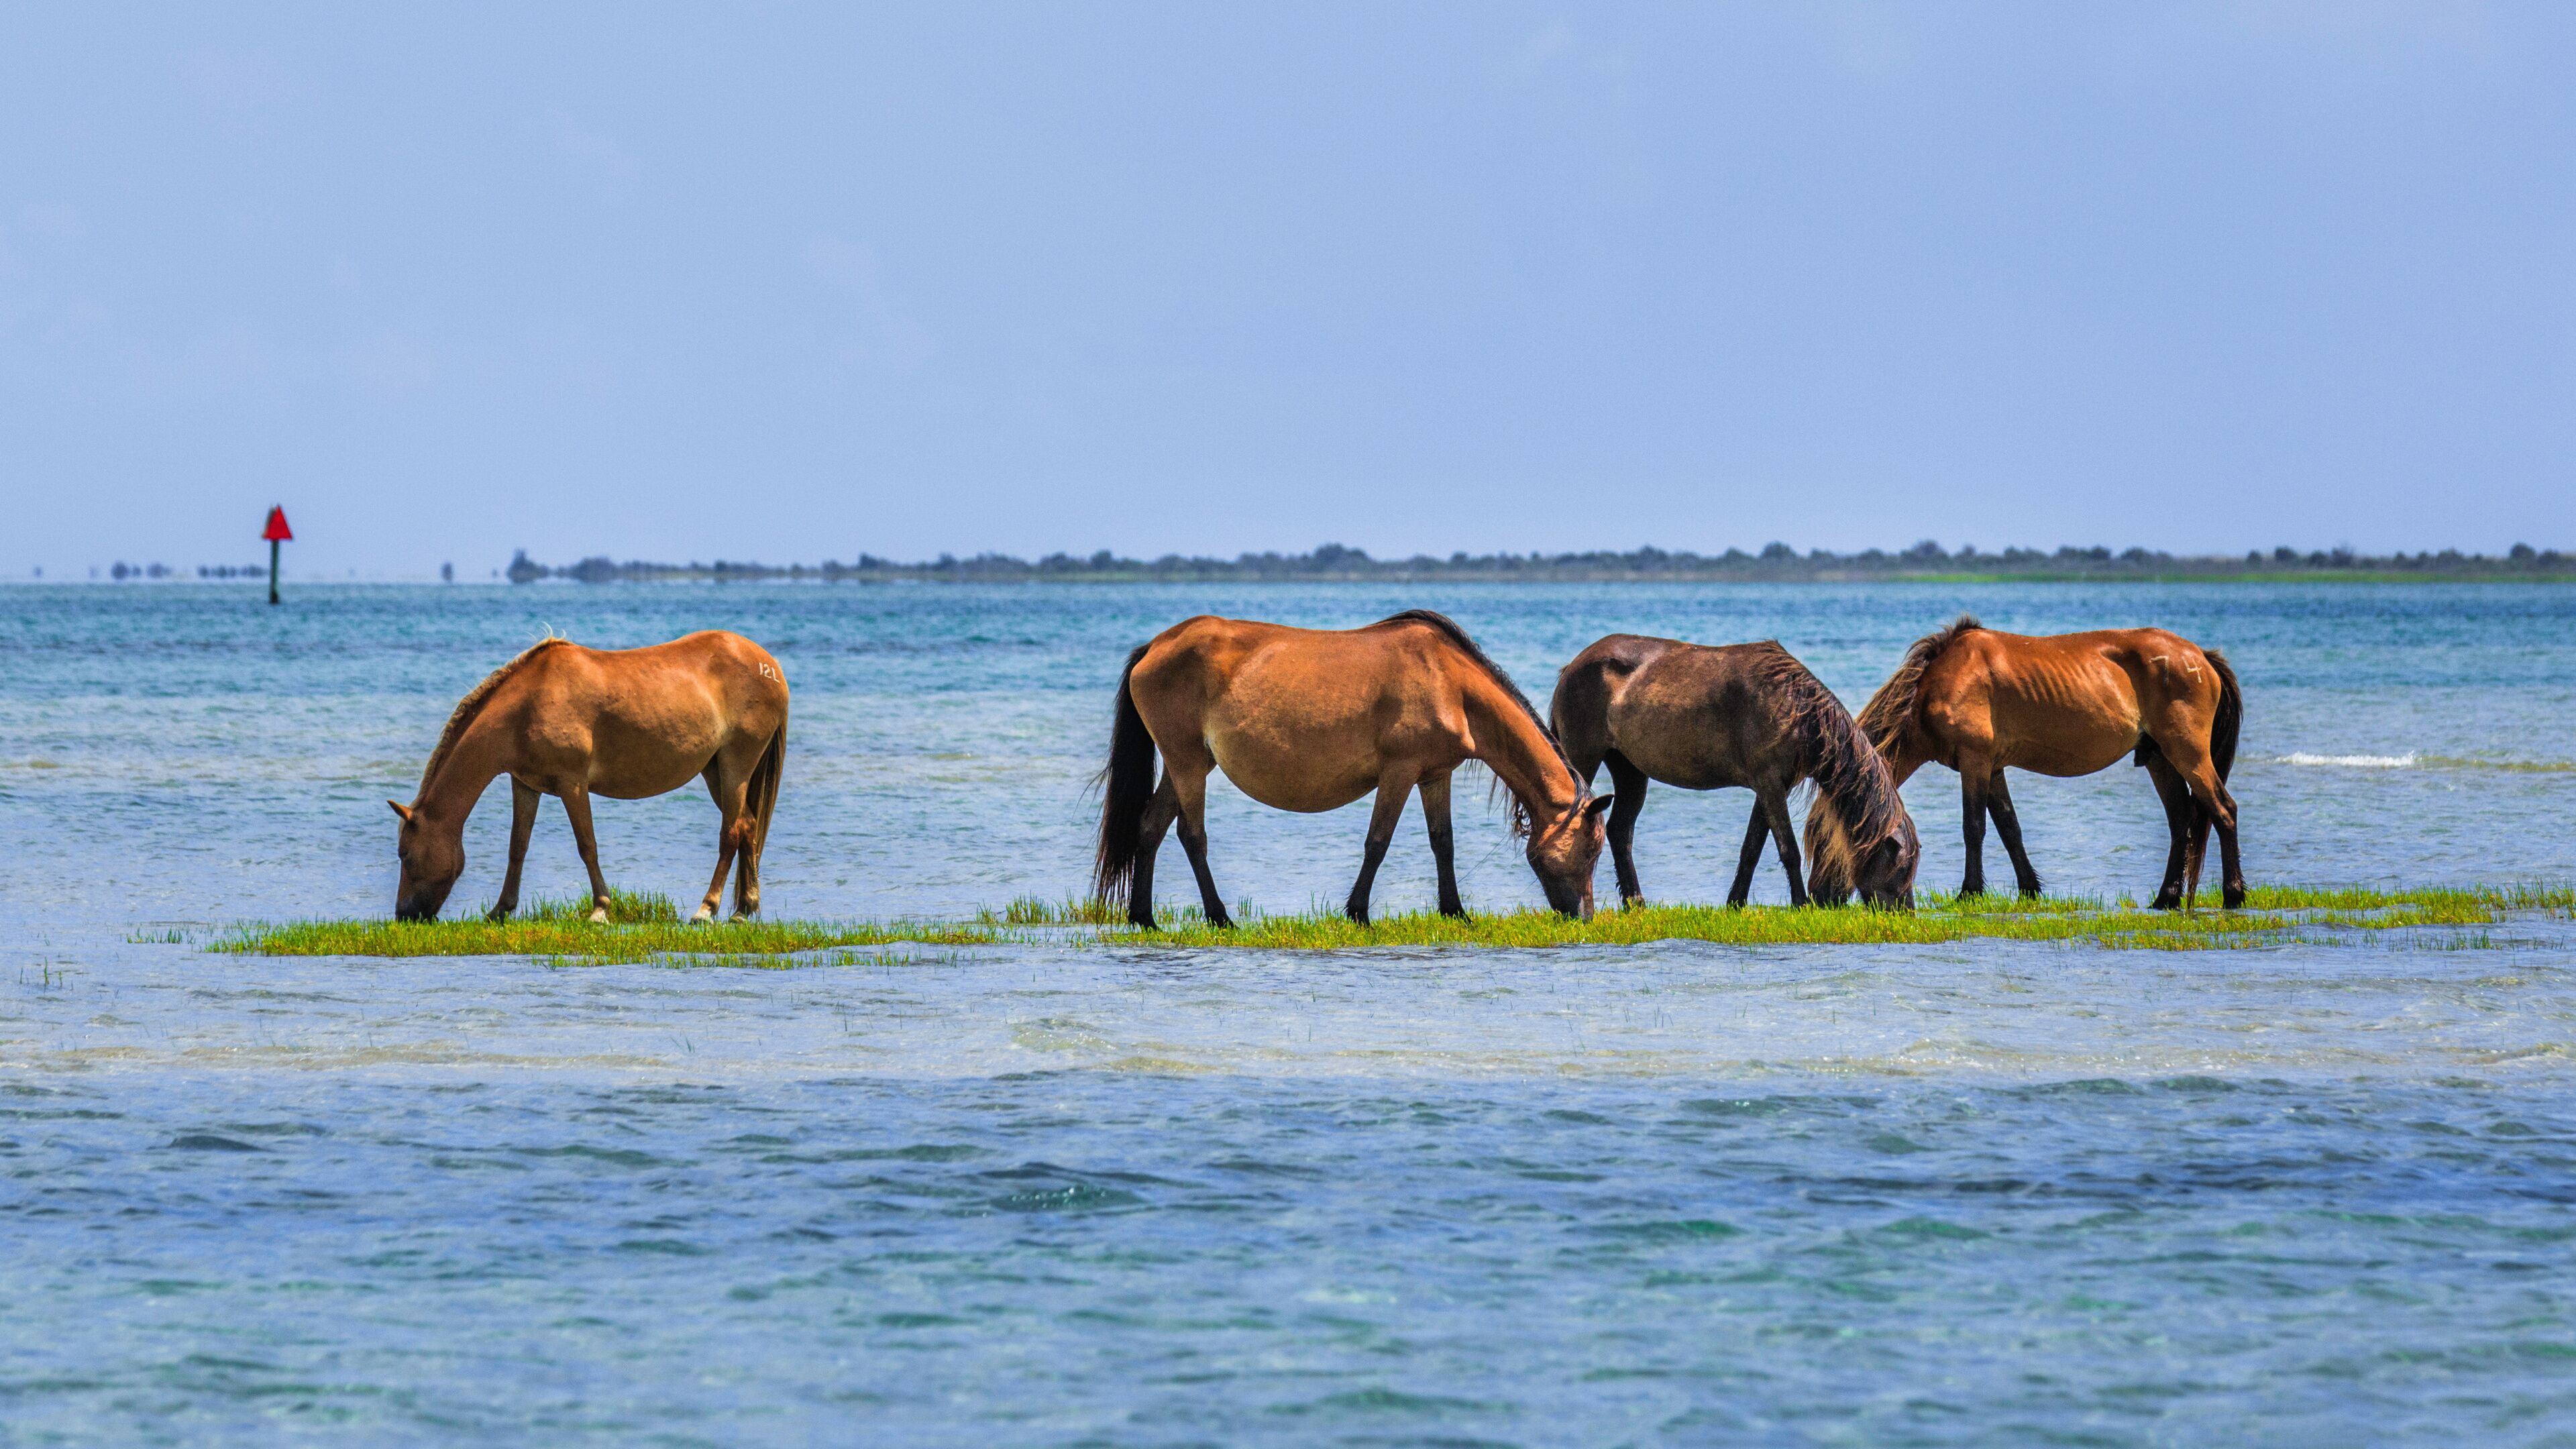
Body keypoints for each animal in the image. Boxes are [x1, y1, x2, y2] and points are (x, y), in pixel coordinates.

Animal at [388, 632, 789, 923]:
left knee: (731, 833)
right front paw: (500, 910)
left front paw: (600, 909)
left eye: (404, 853)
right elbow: (518, 848)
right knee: (748, 826)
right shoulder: (526, 785)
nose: (404, 915)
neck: (526, 706)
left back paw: (707, 909)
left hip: (737, 765)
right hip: (714, 770)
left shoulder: (573, 784)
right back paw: (744, 909)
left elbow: (587, 845)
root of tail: (770, 666)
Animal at [1093, 610, 1611, 927]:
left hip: (1187, 764)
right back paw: (1220, 917)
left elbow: (1443, 843)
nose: (1583, 916)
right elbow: (1377, 843)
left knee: (1150, 828)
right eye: (1592, 848)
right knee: (1191, 835)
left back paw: (1143, 917)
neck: (1450, 681)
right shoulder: (1399, 772)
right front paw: (1359, 912)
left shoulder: (1434, 774)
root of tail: (1155, 646)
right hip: (1186, 764)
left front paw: (1455, 912)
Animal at [1551, 636, 1920, 909]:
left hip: (1630, 769)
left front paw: (1736, 903)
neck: (1793, 706)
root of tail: (1572, 668)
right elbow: (1788, 849)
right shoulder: (1769, 784)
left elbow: (1752, 848)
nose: (1907, 913)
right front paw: (1801, 904)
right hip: (1582, 757)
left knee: (1620, 832)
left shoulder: (1773, 787)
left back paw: (1635, 902)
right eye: (1902, 868)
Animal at [1815, 616, 2243, 909]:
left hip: (2188, 753)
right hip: (2159, 758)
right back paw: (2166, 898)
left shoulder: (1975, 760)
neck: (1941, 682)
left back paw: (2233, 894)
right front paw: (2029, 889)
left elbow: (1974, 827)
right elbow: (2010, 828)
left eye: (1821, 840)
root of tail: (2200, 657)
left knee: (2223, 810)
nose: (1821, 897)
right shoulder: (1993, 768)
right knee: (2180, 821)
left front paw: (1969, 892)